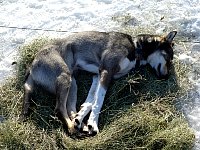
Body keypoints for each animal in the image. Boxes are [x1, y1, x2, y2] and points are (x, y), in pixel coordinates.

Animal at [19, 30, 177, 136]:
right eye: (169, 58)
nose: (166, 77)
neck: (135, 47)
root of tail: (32, 64)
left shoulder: (98, 76)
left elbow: (90, 102)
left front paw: (81, 119)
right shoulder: (106, 72)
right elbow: (98, 102)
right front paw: (93, 124)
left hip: (72, 83)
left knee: (69, 108)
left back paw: (78, 124)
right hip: (64, 77)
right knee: (59, 109)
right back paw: (72, 129)